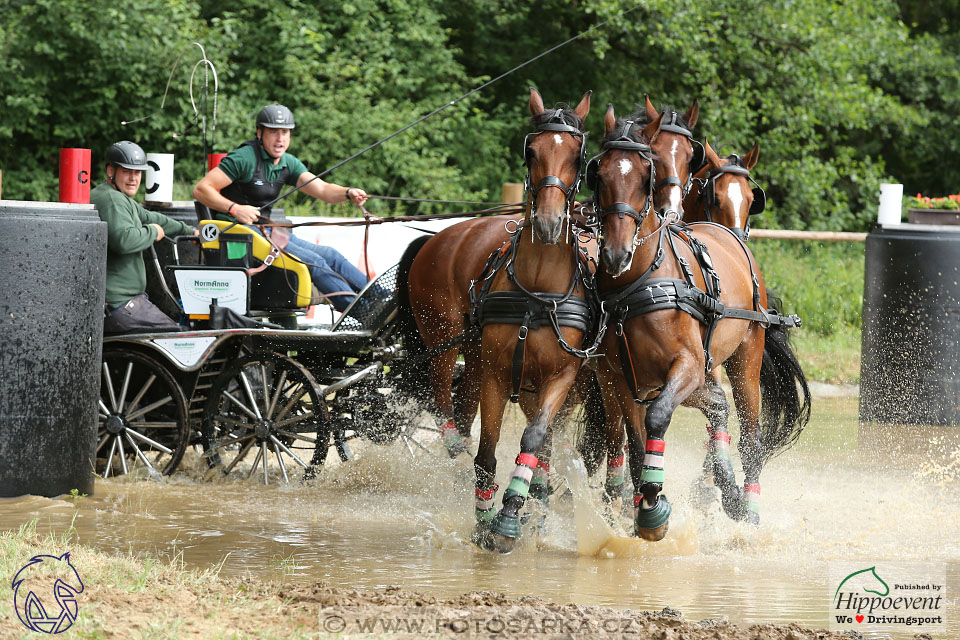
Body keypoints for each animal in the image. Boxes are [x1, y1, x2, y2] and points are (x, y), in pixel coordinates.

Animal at [396, 89, 592, 552]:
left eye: (577, 156)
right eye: (532, 151)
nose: (549, 222)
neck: (537, 292)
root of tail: (439, 236)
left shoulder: (560, 378)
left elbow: (535, 439)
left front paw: (511, 515)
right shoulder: (496, 373)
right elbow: (487, 450)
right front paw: (486, 518)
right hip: (445, 338)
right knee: (444, 401)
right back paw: (454, 454)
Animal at [588, 106, 808, 540]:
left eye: (645, 174)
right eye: (599, 174)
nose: (617, 252)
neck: (638, 280)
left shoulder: (687, 367)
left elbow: (659, 418)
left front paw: (654, 504)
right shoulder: (621, 378)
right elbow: (635, 443)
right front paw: (642, 503)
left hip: (744, 360)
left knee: (750, 436)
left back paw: (747, 508)